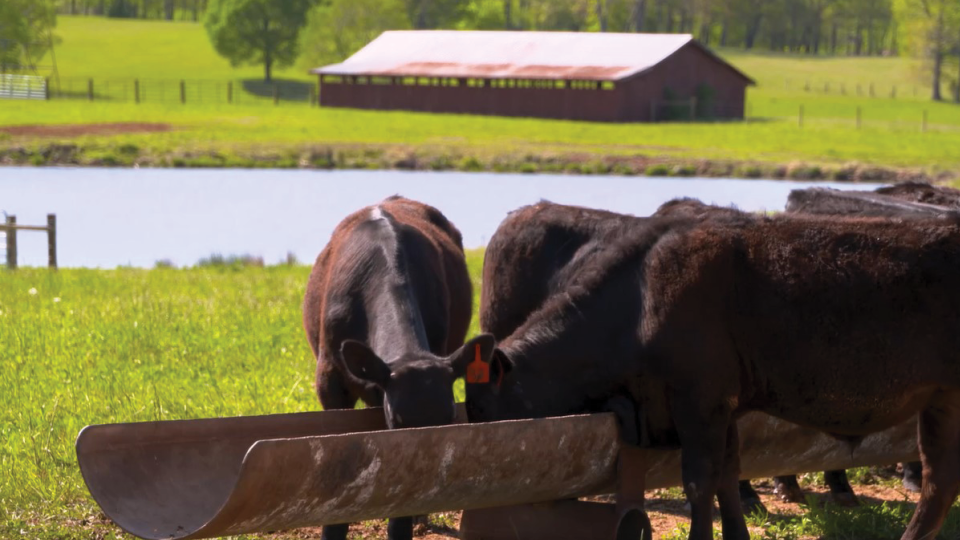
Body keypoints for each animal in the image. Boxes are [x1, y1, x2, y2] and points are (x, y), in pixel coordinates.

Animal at [468, 201, 960, 540]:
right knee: (940, 482)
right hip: (941, 402)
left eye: (486, 412)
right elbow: (728, 474)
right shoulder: (725, 405)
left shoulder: (698, 400)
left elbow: (700, 480)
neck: (640, 300)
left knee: (938, 482)